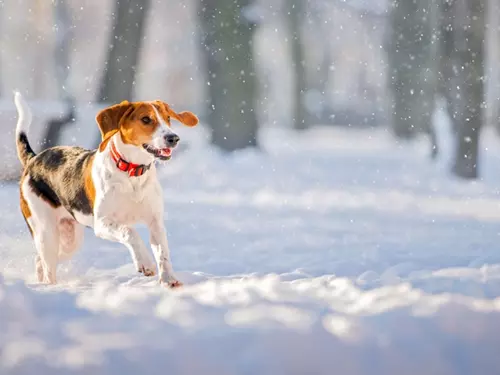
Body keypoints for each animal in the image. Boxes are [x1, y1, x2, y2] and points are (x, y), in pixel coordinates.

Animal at [14, 93, 197, 288]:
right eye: (146, 119)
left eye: (168, 118)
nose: (174, 138)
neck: (132, 172)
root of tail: (34, 159)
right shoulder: (102, 224)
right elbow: (130, 233)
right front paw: (145, 263)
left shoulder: (155, 222)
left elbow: (163, 253)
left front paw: (169, 279)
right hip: (46, 232)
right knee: (48, 266)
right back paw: (51, 287)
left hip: (70, 240)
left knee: (40, 260)